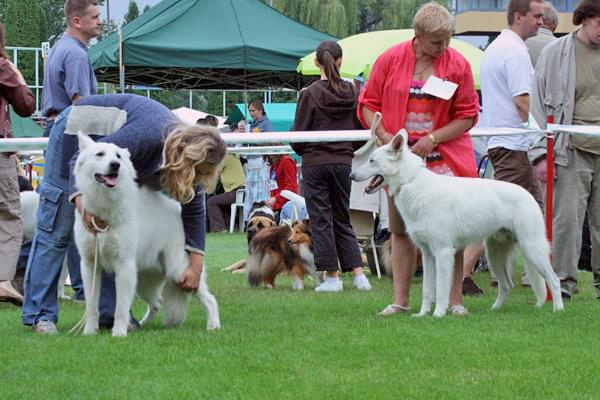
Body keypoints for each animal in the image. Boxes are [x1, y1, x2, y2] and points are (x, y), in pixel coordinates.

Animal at [73, 134, 220, 338]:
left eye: (118, 157)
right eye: (100, 154)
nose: (115, 165)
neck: (105, 207)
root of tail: (178, 213)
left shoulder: (124, 266)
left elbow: (120, 308)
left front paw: (118, 333)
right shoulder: (89, 266)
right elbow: (92, 307)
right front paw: (89, 332)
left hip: (179, 272)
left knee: (210, 299)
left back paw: (213, 326)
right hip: (142, 282)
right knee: (157, 302)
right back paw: (142, 324)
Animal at [350, 126, 564, 318]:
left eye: (372, 160)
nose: (351, 176)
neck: (411, 182)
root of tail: (528, 195)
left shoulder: (444, 253)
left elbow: (442, 290)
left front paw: (438, 314)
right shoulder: (428, 255)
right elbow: (428, 289)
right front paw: (422, 314)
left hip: (532, 249)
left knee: (554, 280)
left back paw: (558, 310)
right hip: (494, 255)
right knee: (506, 285)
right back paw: (494, 310)